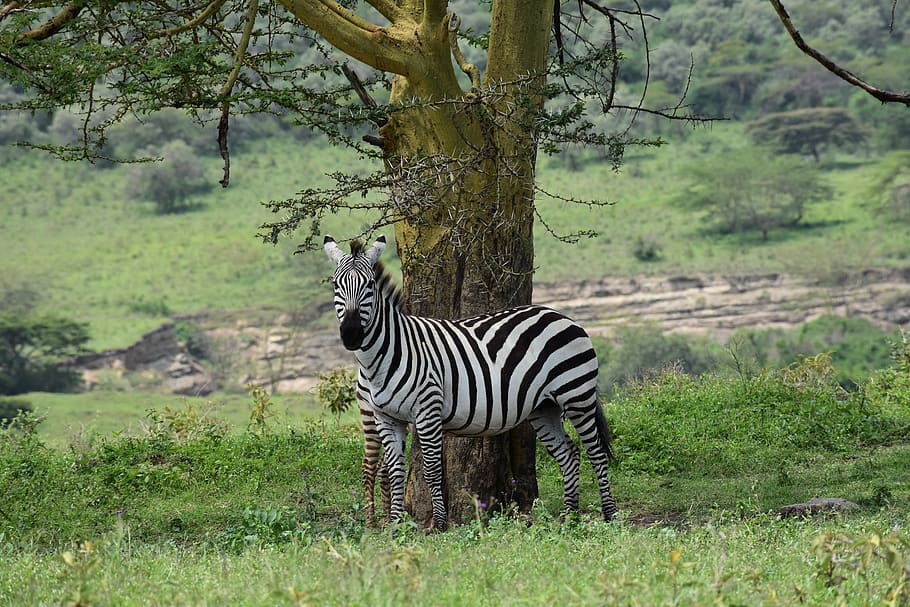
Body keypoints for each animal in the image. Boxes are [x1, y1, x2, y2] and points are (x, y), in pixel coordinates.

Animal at [324, 234, 617, 529]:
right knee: (570, 454)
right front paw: (396, 525)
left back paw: (609, 514)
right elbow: (395, 472)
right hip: (544, 407)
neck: (387, 354)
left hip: (576, 394)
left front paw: (439, 525)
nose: (351, 334)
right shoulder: (386, 417)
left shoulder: (427, 411)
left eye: (370, 286)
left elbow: (432, 471)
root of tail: (560, 315)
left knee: (596, 453)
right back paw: (569, 516)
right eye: (336, 285)